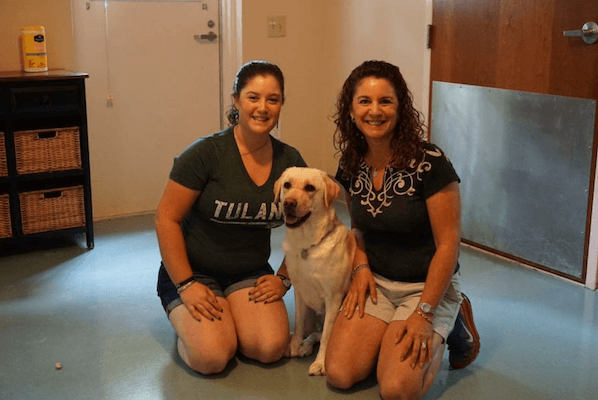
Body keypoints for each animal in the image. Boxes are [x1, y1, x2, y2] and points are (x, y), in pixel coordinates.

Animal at [276, 166, 356, 376]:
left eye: (310, 188)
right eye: (287, 185)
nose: (288, 203)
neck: (307, 245)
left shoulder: (333, 299)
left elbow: (327, 336)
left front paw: (321, 362)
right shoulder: (300, 292)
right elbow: (298, 324)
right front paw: (294, 346)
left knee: (321, 334)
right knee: (314, 333)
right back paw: (304, 346)